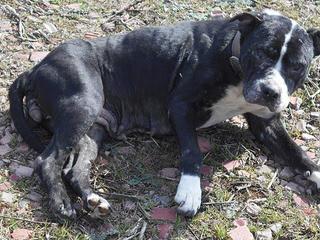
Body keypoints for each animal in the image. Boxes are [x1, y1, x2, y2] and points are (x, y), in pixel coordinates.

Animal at [8, 9, 320, 219]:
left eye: (297, 65)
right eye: (262, 53)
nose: (270, 91)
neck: (236, 63)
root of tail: (35, 69)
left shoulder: (266, 124)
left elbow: (297, 152)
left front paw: (315, 172)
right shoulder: (180, 106)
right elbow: (192, 152)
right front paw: (191, 191)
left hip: (91, 131)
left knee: (75, 169)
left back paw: (93, 199)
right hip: (83, 103)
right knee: (47, 160)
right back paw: (61, 202)